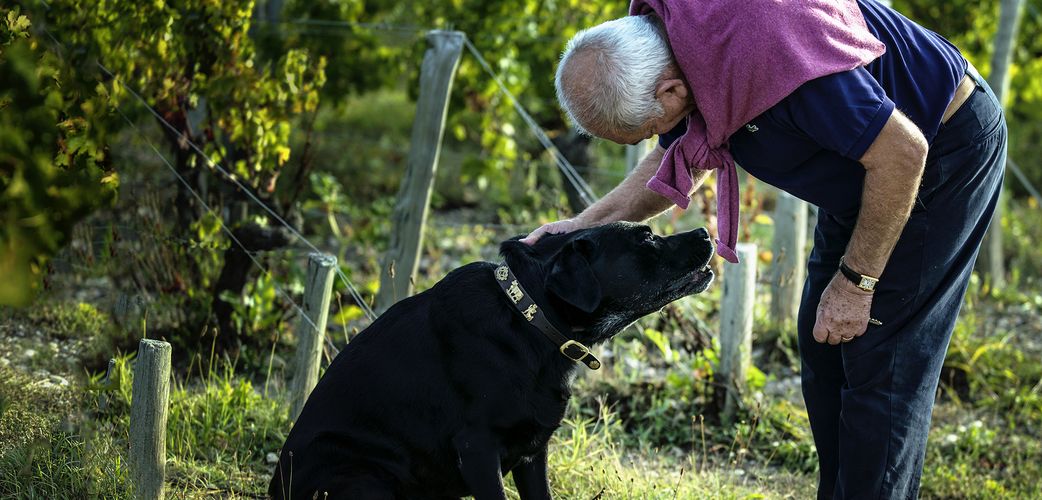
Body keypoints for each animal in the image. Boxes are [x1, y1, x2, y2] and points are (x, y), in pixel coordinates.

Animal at [269, 222, 715, 499]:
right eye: (647, 238)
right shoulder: (478, 448)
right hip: (364, 476)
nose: (705, 230)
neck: (529, 319)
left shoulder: (534, 453)